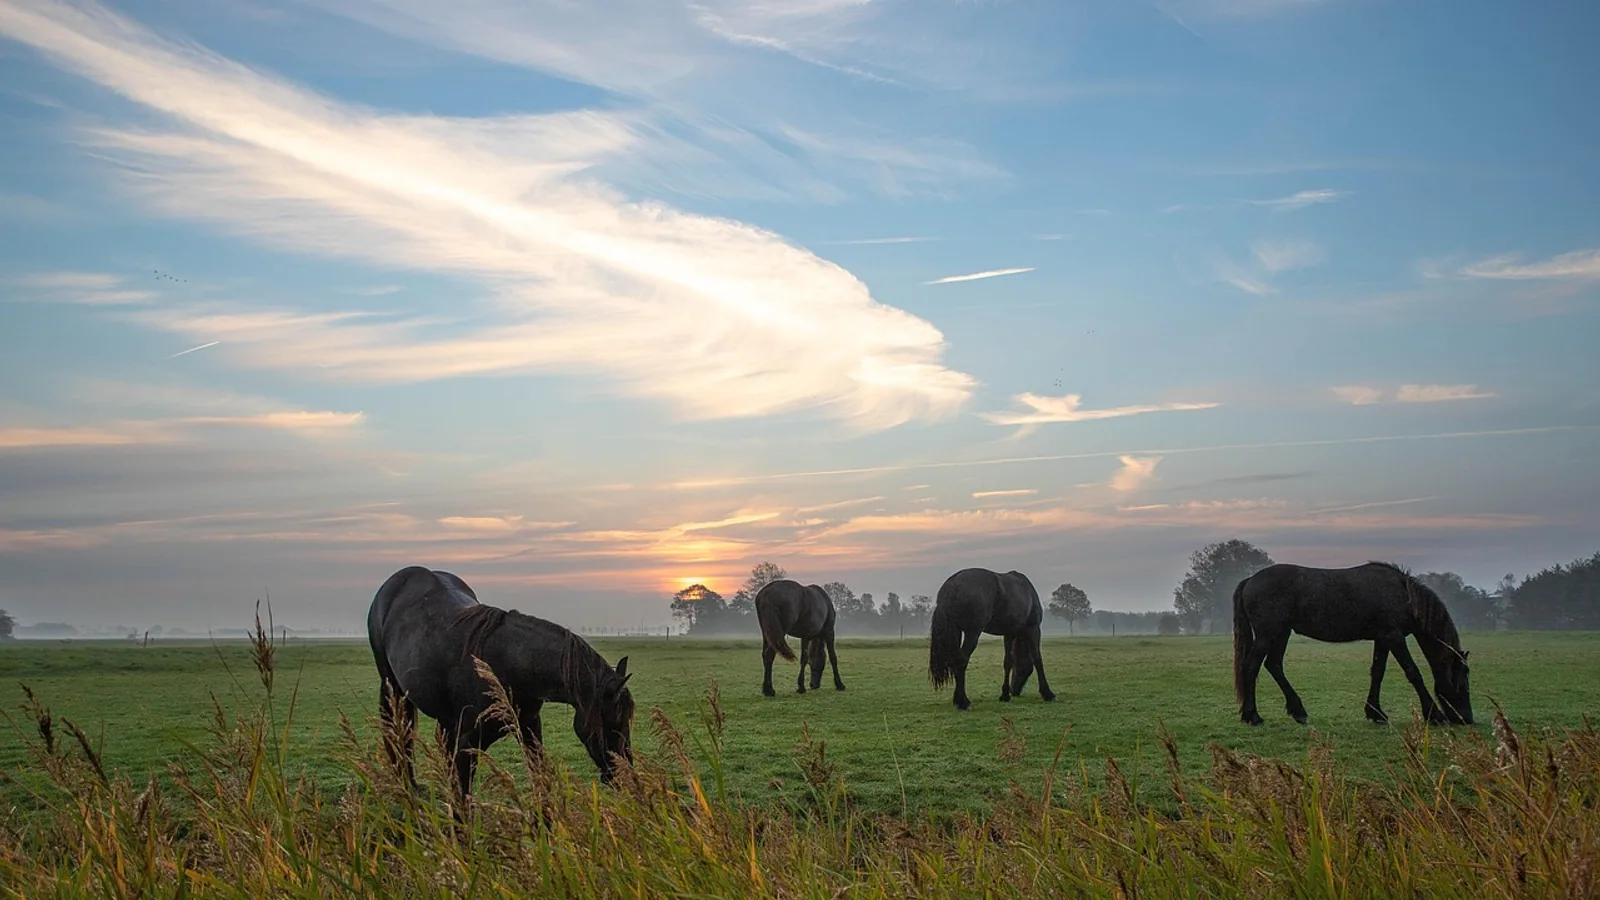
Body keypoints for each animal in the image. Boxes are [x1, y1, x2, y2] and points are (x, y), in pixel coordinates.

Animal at [366, 566, 635, 800]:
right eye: (614, 723)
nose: (626, 778)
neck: (505, 668)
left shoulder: (529, 730)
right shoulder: (467, 746)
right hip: (392, 688)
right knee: (399, 735)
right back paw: (407, 786)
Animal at [927, 568, 1056, 710]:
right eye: (1021, 669)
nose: (1014, 691)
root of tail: (952, 584)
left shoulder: (1009, 633)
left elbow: (1008, 661)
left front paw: (1005, 695)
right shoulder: (1033, 628)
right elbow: (1037, 659)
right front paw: (1047, 693)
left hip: (957, 632)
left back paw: (958, 700)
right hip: (972, 633)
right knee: (962, 660)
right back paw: (963, 702)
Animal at [1233, 561, 1473, 727]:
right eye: (1462, 679)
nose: (1466, 718)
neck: (1403, 594)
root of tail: (1250, 580)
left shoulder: (1383, 638)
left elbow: (1377, 671)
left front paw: (1376, 713)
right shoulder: (1394, 637)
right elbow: (1413, 673)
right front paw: (1434, 715)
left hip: (1281, 633)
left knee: (1273, 665)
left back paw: (1297, 711)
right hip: (1267, 635)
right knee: (1251, 667)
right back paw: (1252, 716)